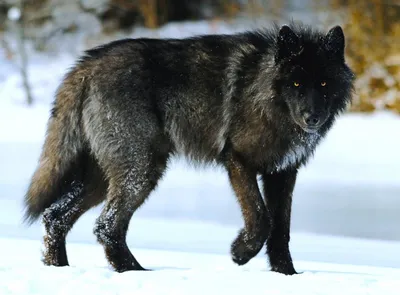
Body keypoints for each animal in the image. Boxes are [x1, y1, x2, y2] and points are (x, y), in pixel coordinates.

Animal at [22, 22, 354, 276]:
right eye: (296, 84)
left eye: (324, 84)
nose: (313, 118)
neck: (264, 94)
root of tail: (86, 64)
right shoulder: (238, 161)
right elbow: (261, 219)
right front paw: (240, 253)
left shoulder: (283, 173)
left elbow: (281, 230)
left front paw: (287, 275)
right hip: (141, 171)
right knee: (106, 225)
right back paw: (134, 272)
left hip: (102, 178)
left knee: (55, 215)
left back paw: (60, 269)